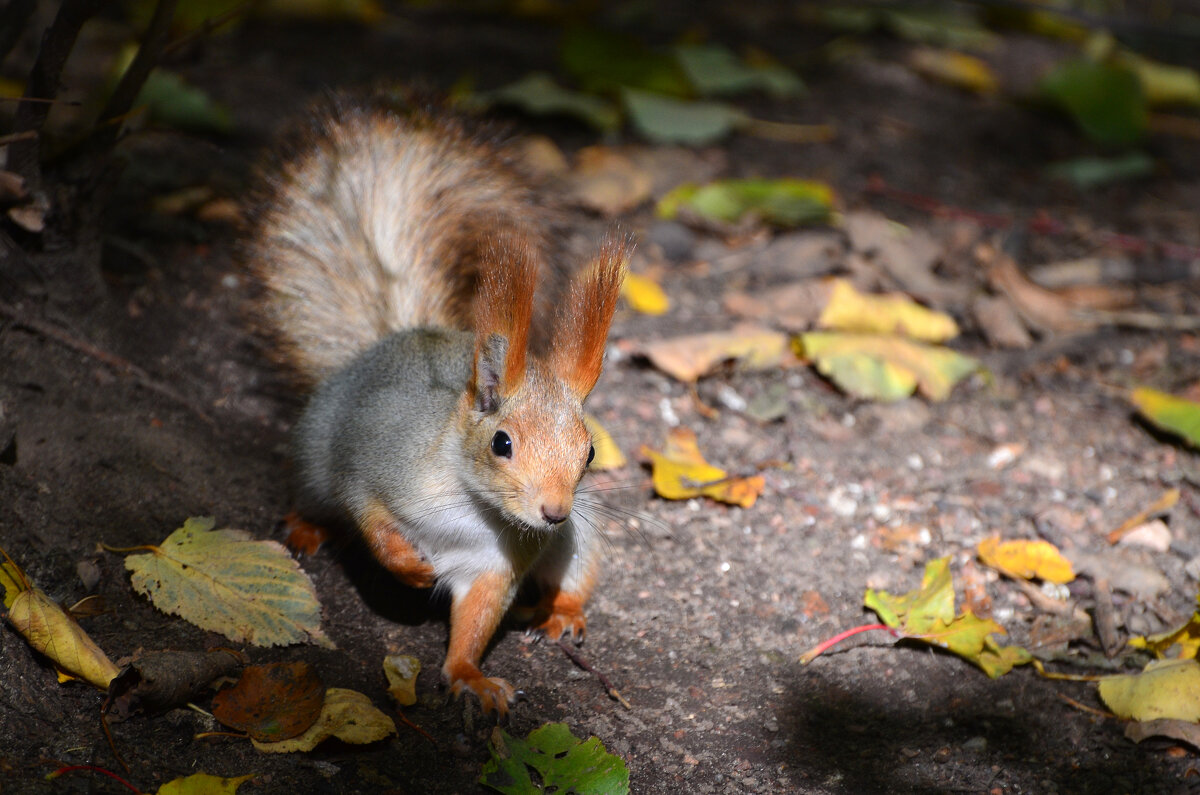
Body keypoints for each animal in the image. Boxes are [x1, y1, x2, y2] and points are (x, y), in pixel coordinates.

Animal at [249, 93, 633, 715]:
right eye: (502, 442)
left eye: (590, 453)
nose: (554, 513)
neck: (470, 509)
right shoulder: (379, 464)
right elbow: (371, 519)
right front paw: (408, 567)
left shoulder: (496, 564)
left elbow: (477, 619)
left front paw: (470, 676)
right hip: (313, 456)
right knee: (316, 497)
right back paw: (307, 528)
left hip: (585, 531)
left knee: (576, 568)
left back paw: (561, 612)